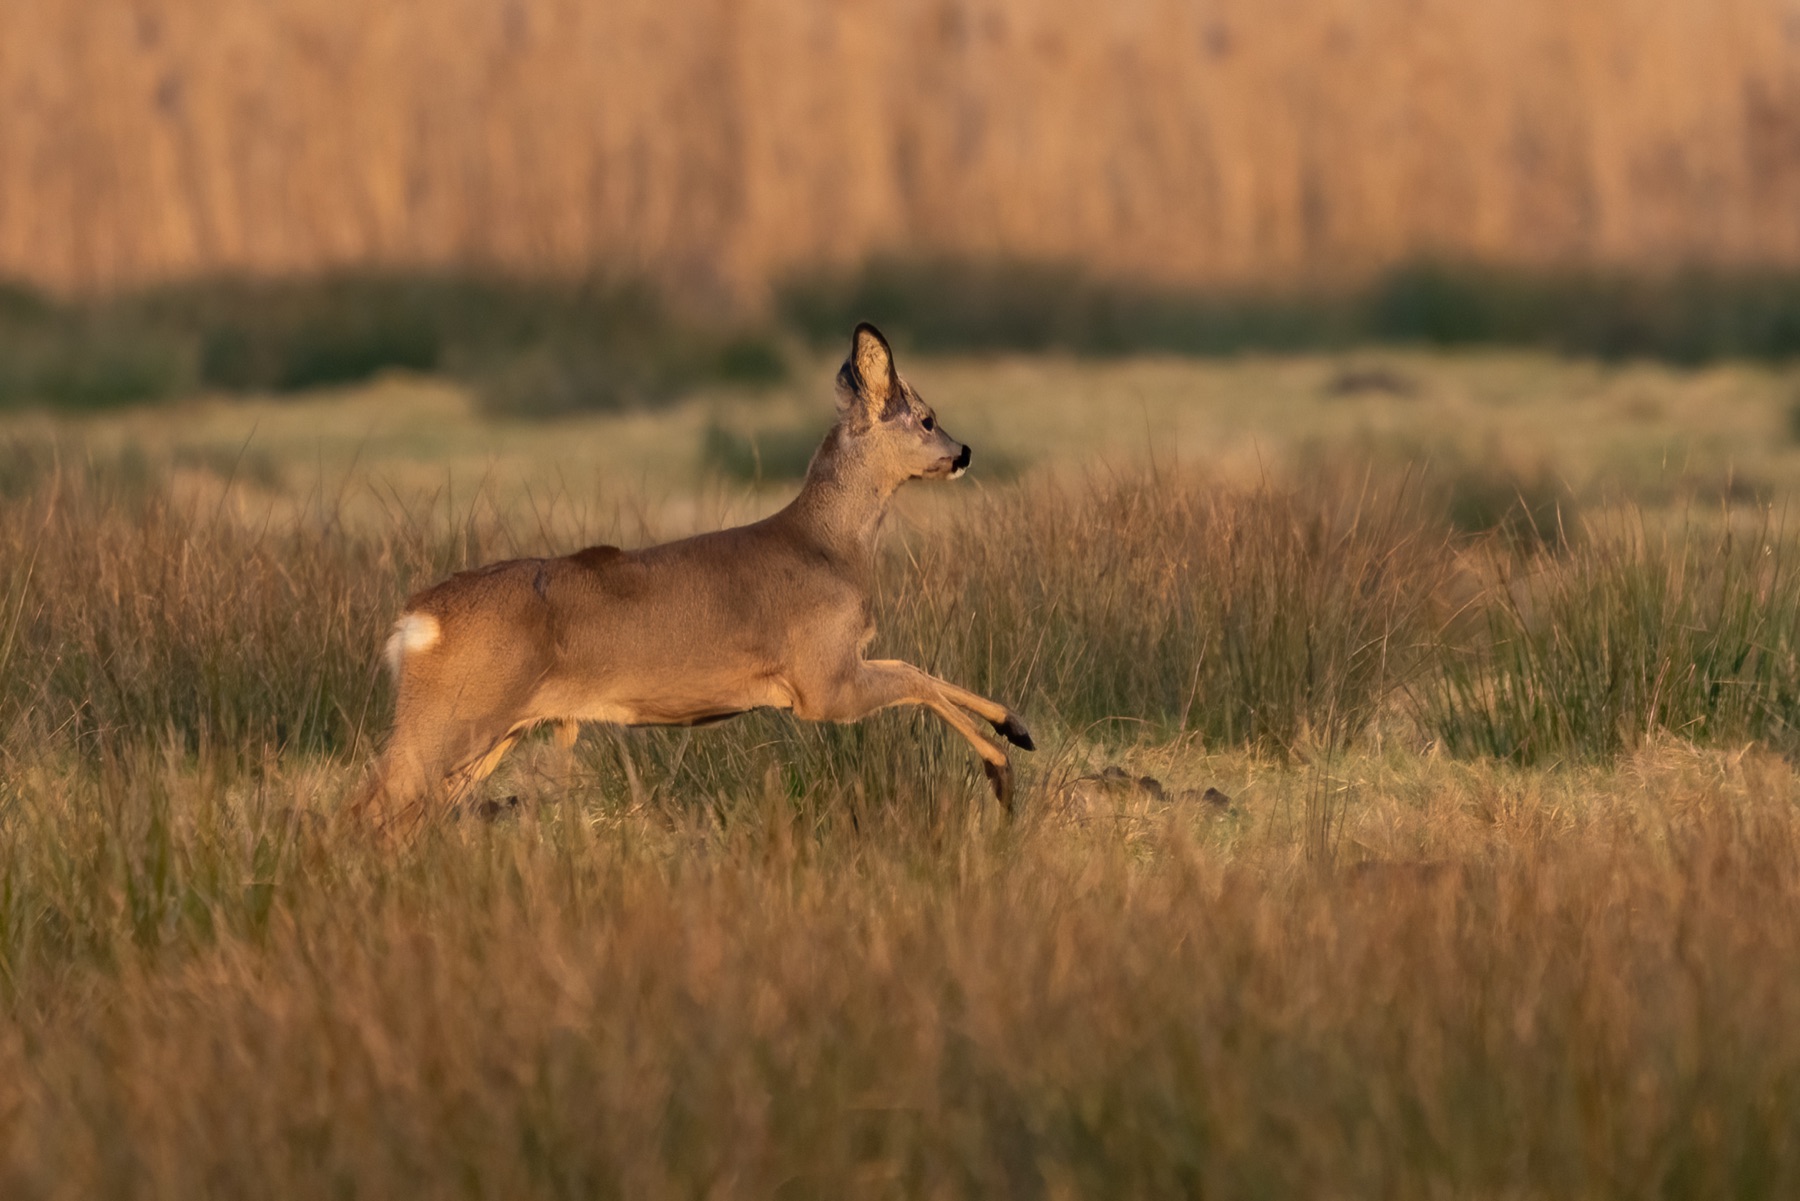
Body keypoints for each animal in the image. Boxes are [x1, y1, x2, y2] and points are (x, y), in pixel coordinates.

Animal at [345, 323, 1034, 833]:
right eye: (926, 417)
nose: (964, 452)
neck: (829, 548)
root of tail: (415, 622)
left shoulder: (836, 667)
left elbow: (915, 668)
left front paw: (1016, 729)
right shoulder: (819, 683)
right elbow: (915, 680)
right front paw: (1001, 771)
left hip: (492, 732)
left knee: (406, 815)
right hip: (451, 716)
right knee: (366, 807)